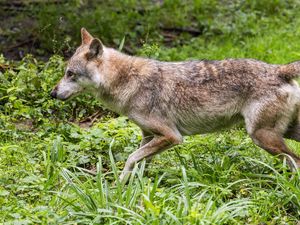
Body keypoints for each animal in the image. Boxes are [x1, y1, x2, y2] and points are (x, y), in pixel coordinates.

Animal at [50, 28, 300, 183]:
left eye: (70, 74)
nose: (52, 93)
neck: (126, 81)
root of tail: (279, 69)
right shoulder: (149, 137)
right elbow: (139, 163)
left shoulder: (171, 136)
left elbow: (131, 158)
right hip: (280, 134)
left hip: (261, 137)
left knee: (295, 161)